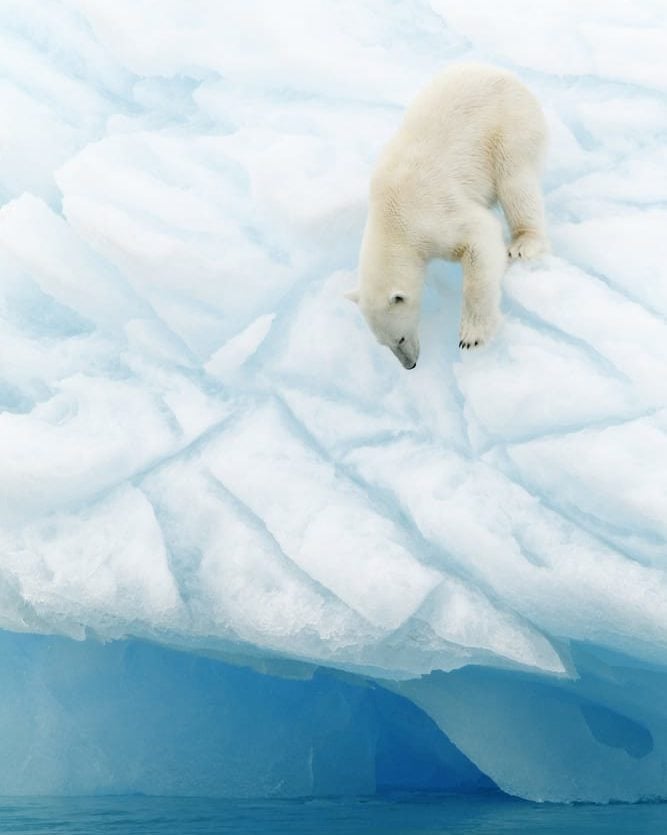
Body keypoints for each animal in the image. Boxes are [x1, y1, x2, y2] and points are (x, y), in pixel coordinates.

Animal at [350, 62, 548, 370]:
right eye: (384, 344)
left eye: (399, 338)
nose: (410, 365)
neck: (390, 217)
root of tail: (510, 77)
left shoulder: (432, 216)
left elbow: (480, 238)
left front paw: (472, 335)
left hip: (510, 126)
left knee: (515, 181)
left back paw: (524, 243)